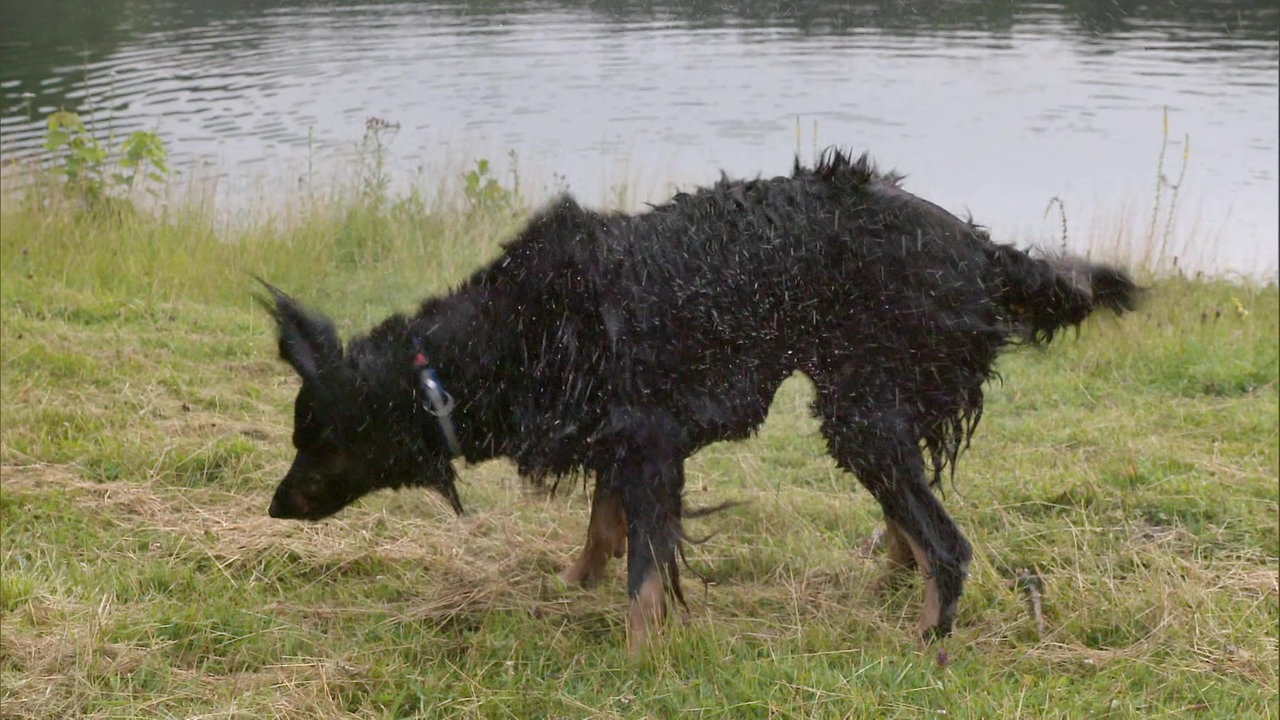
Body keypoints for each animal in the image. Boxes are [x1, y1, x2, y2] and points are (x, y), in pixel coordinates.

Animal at [257, 148, 1131, 648]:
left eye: (319, 442)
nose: (274, 508)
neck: (500, 340)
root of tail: (985, 249)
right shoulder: (624, 436)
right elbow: (603, 524)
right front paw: (577, 579)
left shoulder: (651, 443)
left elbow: (646, 575)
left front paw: (641, 655)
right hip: (870, 402)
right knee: (910, 520)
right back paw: (891, 578)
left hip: (859, 411)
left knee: (946, 545)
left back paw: (924, 639)